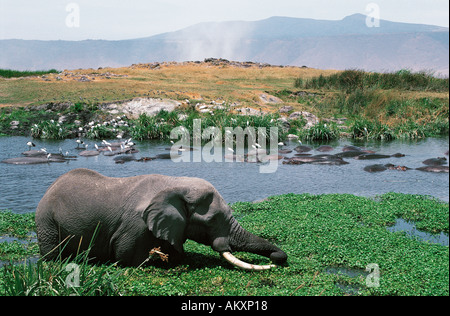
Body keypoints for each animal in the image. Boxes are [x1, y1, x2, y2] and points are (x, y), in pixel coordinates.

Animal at [37, 169, 286, 270]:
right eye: (212, 220)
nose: (279, 258)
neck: (175, 183)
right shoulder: (135, 227)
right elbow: (126, 257)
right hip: (46, 222)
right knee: (52, 255)